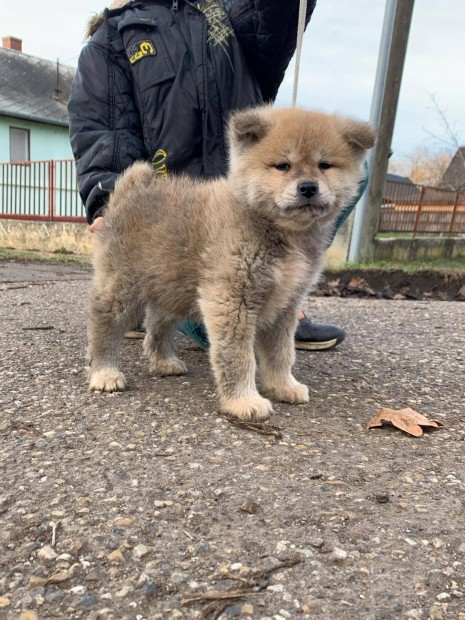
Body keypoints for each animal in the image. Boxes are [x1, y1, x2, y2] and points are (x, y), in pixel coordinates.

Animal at [89, 106, 376, 422]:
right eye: (282, 166)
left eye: (325, 165)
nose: (308, 187)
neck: (280, 231)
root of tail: (128, 194)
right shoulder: (231, 299)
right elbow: (238, 356)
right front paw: (243, 400)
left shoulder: (286, 304)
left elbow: (281, 353)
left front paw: (283, 385)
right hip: (121, 287)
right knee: (104, 324)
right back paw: (104, 371)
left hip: (170, 287)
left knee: (158, 326)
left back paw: (164, 362)